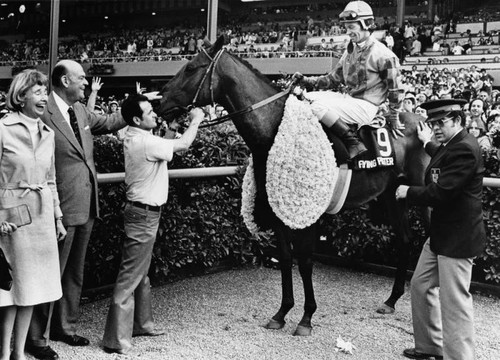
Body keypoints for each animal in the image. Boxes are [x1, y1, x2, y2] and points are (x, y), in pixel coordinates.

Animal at [159, 35, 430, 334]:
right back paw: (391, 300)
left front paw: (306, 317)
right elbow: (287, 259)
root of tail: (421, 120)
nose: (160, 99)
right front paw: (282, 312)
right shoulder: (277, 210)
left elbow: (306, 261)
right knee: (405, 240)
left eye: (191, 68)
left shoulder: (309, 214)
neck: (275, 126)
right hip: (392, 195)